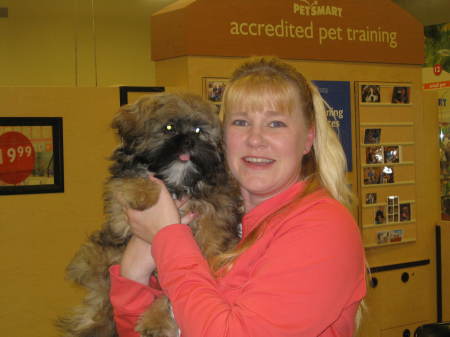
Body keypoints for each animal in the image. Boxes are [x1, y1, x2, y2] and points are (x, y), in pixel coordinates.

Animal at [57, 92, 243, 336]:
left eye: (198, 131)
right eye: (169, 127)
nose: (189, 142)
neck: (178, 182)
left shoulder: (211, 235)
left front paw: (156, 319)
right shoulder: (120, 209)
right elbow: (131, 181)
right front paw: (143, 193)